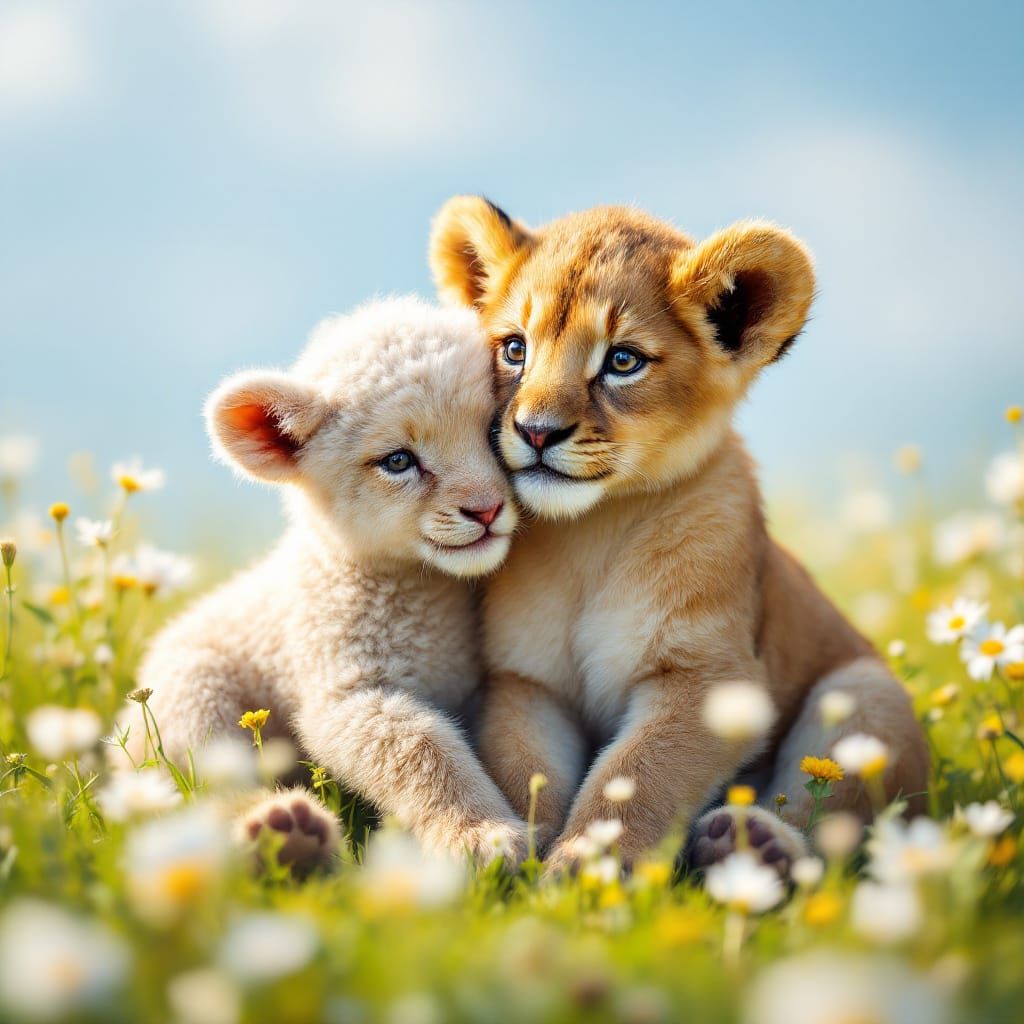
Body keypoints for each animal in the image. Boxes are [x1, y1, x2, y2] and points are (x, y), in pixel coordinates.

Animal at [429, 197, 928, 873]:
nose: (535, 431)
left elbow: (637, 776)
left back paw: (753, 844)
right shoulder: (527, 681)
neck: (593, 530)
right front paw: (522, 855)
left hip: (867, 693)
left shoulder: (709, 676)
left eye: (622, 360)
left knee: (830, 823)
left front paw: (586, 868)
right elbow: (527, 771)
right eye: (514, 349)